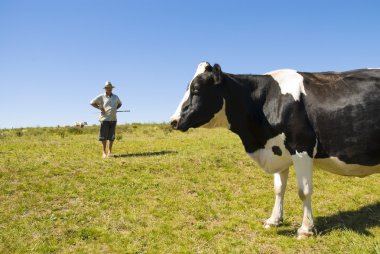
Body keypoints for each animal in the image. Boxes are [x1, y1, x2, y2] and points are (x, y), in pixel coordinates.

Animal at [171, 61, 380, 238]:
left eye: (196, 90)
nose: (173, 121)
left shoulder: (302, 147)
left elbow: (304, 191)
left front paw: (306, 229)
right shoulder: (278, 150)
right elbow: (279, 189)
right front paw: (274, 220)